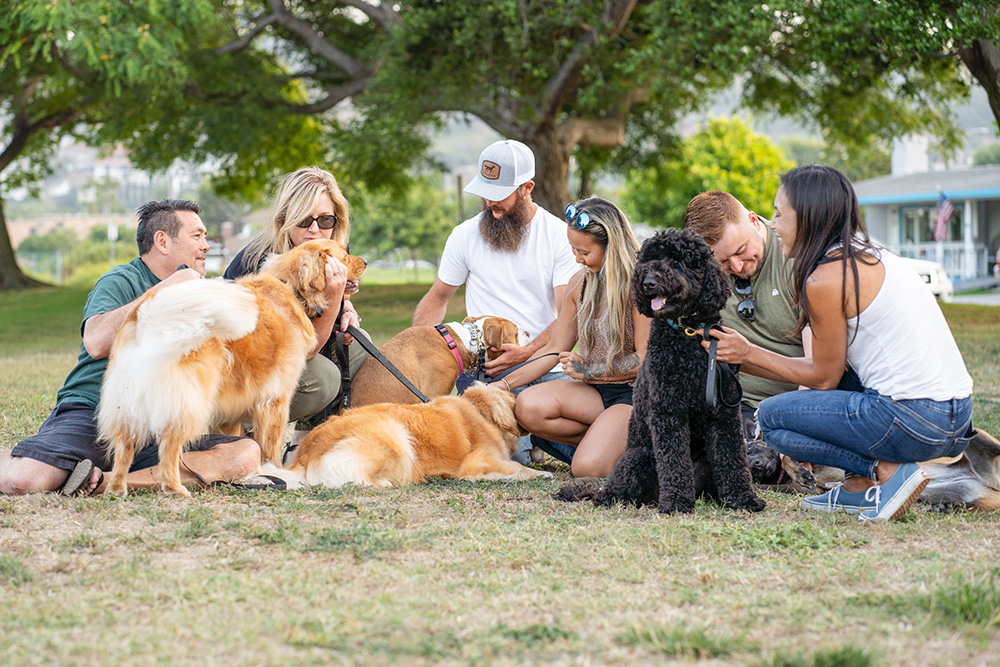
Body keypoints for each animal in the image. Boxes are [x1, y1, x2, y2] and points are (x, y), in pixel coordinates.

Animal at [96, 240, 368, 496]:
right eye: (344, 255)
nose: (365, 261)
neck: (290, 286)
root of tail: (152, 313)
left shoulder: (229, 413)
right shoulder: (275, 400)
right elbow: (271, 445)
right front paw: (275, 471)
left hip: (128, 402)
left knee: (125, 445)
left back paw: (116, 487)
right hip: (188, 401)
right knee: (169, 446)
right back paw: (174, 488)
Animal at [272, 380, 556, 490]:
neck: (481, 412)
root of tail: (305, 453)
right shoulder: (479, 462)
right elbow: (516, 469)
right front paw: (540, 474)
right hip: (393, 434)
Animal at [560, 227, 760, 516]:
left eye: (677, 261)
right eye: (648, 260)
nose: (649, 283)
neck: (687, 332)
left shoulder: (724, 412)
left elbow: (732, 458)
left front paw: (743, 498)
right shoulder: (668, 410)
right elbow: (674, 461)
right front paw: (676, 502)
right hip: (639, 458)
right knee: (611, 491)